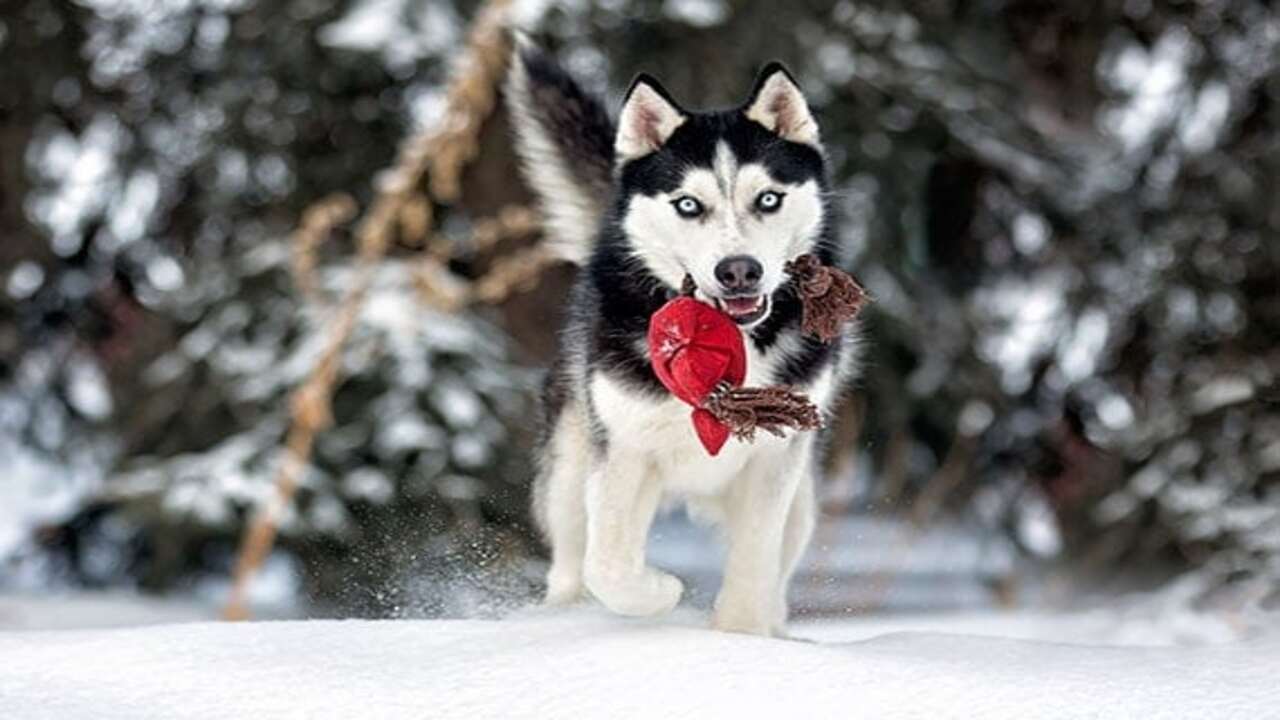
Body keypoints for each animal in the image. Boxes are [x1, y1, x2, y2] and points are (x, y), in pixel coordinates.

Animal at [504, 41, 855, 632]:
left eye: (768, 199)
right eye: (688, 204)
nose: (740, 271)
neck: (725, 339)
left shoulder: (774, 461)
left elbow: (754, 562)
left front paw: (742, 634)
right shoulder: (623, 451)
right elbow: (609, 565)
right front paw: (660, 595)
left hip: (803, 498)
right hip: (570, 464)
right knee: (573, 557)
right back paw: (566, 613)